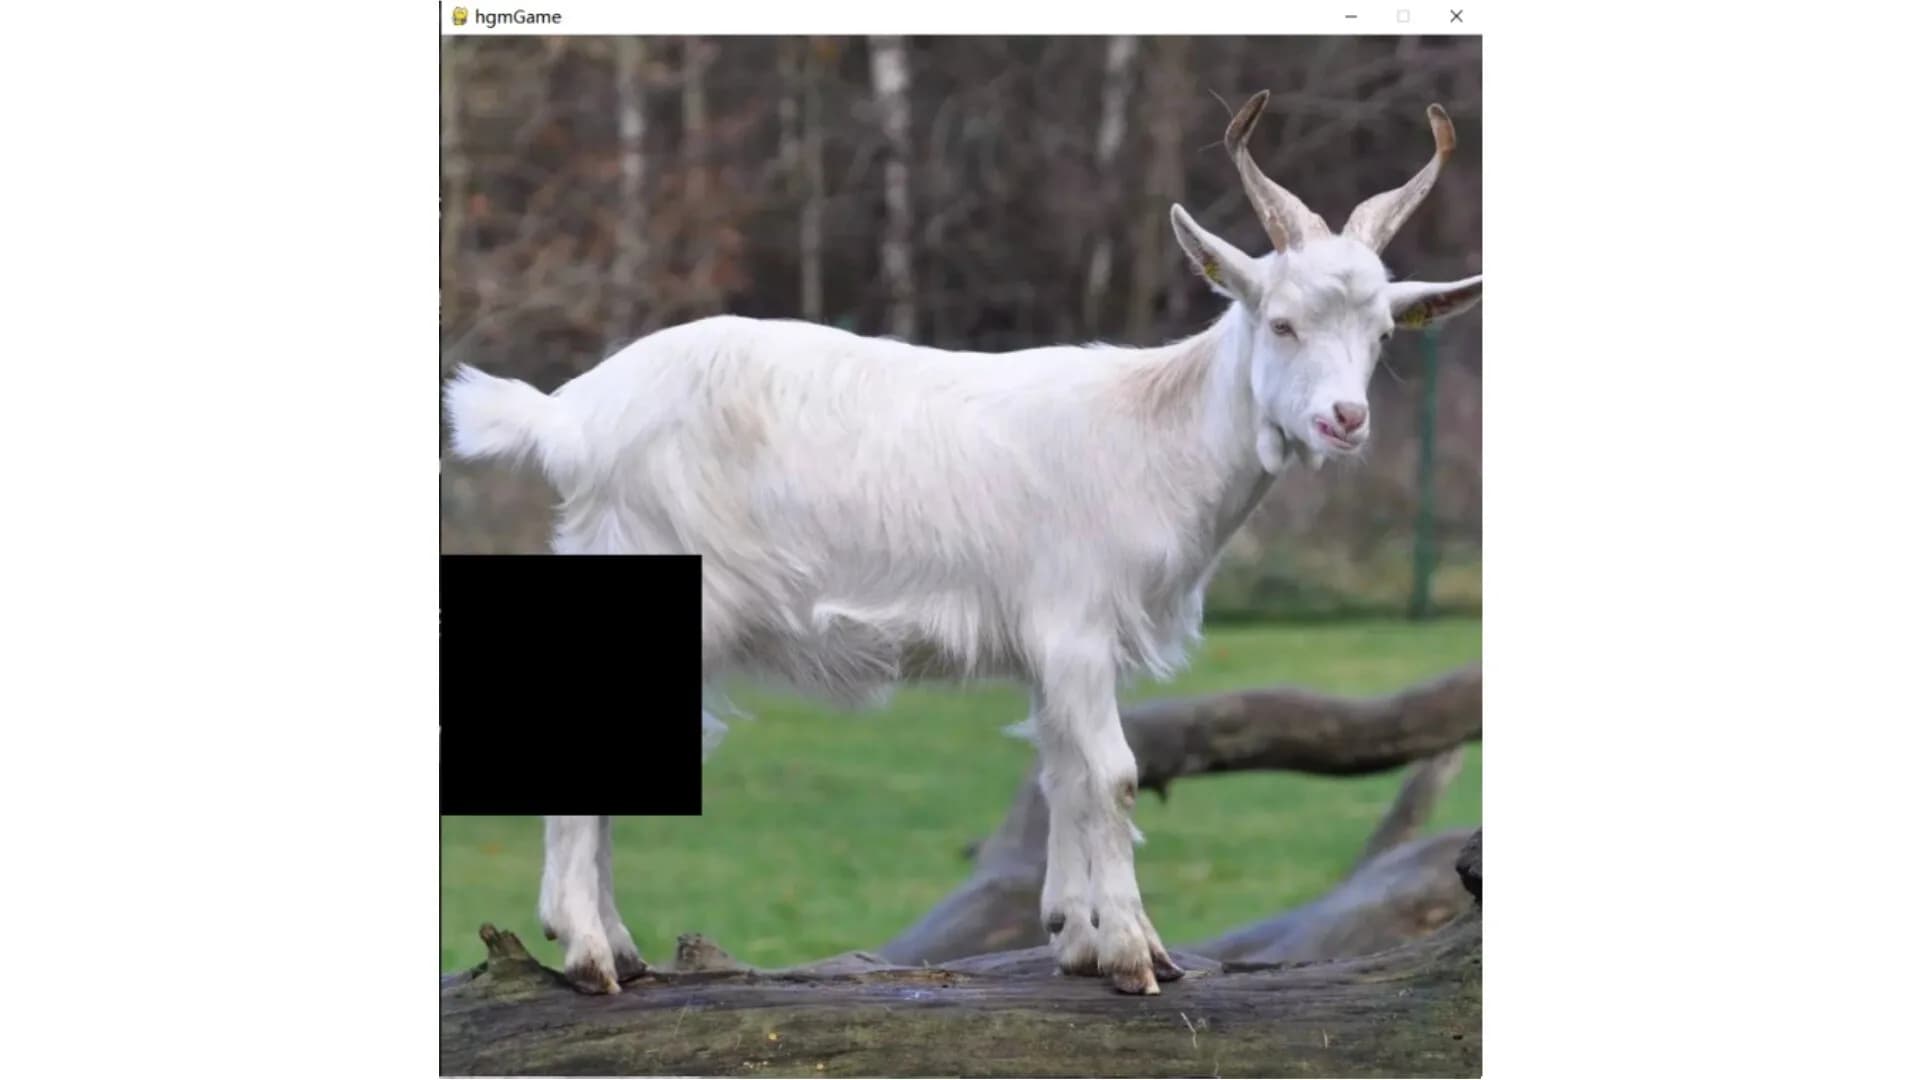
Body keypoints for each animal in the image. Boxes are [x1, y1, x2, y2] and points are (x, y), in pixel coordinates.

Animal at [442, 90, 1483, 997]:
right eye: (1281, 321)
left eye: (1383, 334)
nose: (1345, 420)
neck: (1155, 432)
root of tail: (571, 417)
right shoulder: (1074, 622)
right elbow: (1112, 776)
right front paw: (1136, 956)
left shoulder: (1059, 644)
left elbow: (1062, 773)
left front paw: (1074, 936)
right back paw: (588, 954)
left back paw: (615, 943)